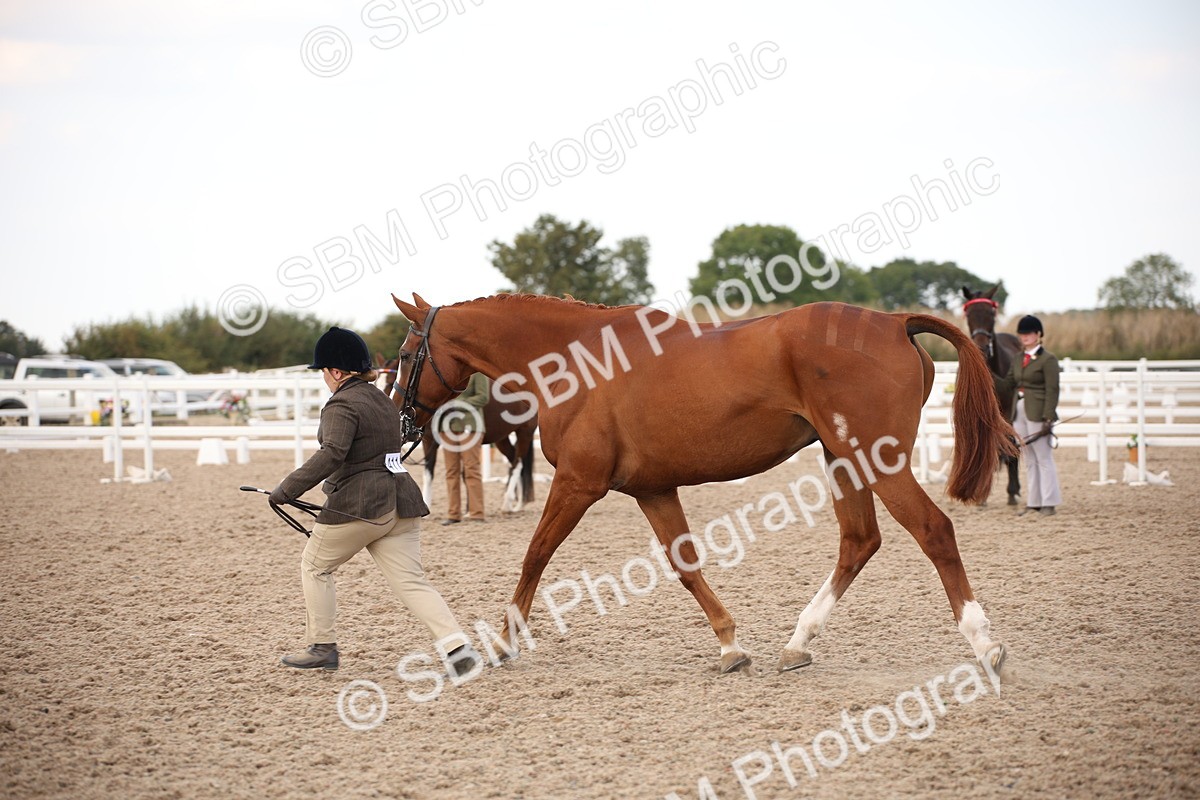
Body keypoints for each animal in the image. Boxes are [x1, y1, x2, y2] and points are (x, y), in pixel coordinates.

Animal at [381, 356, 538, 511]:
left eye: (389, 382)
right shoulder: (428, 441)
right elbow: (429, 472)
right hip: (502, 438)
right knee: (513, 460)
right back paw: (516, 502)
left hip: (525, 432)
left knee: (518, 464)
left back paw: (509, 502)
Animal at [961, 284, 1023, 505]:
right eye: (969, 314)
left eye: (991, 314)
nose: (981, 348)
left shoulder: (1006, 411)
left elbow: (1010, 445)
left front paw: (1012, 491)